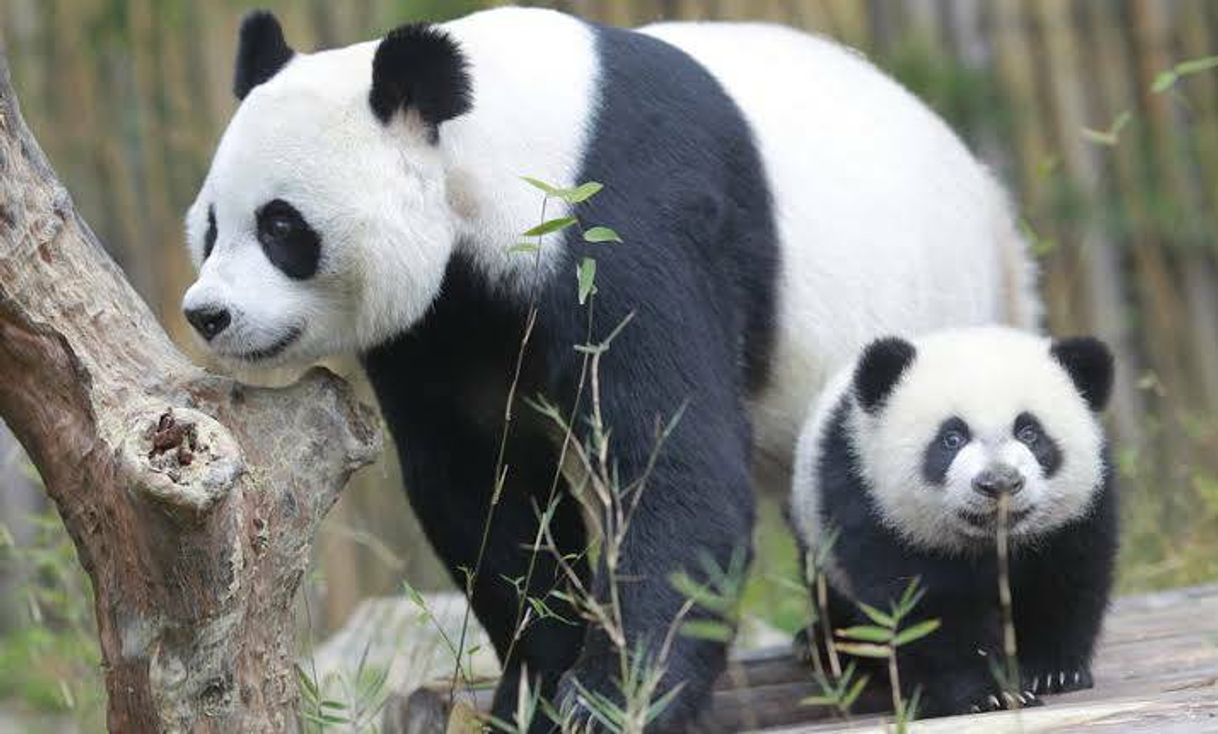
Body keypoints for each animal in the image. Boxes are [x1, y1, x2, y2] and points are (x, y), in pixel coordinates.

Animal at [180, 5, 1037, 730]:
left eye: (281, 226)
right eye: (211, 225)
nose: (207, 314)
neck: (496, 143)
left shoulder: (624, 222)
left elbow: (674, 465)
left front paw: (611, 698)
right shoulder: (446, 316)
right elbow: (482, 486)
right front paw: (535, 686)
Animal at [784, 326, 1115, 715]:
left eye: (1030, 432)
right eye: (952, 438)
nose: (999, 483)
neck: (992, 541)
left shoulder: (1075, 518)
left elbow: (1064, 583)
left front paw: (1051, 672)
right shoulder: (875, 508)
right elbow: (926, 609)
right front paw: (987, 694)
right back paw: (823, 645)